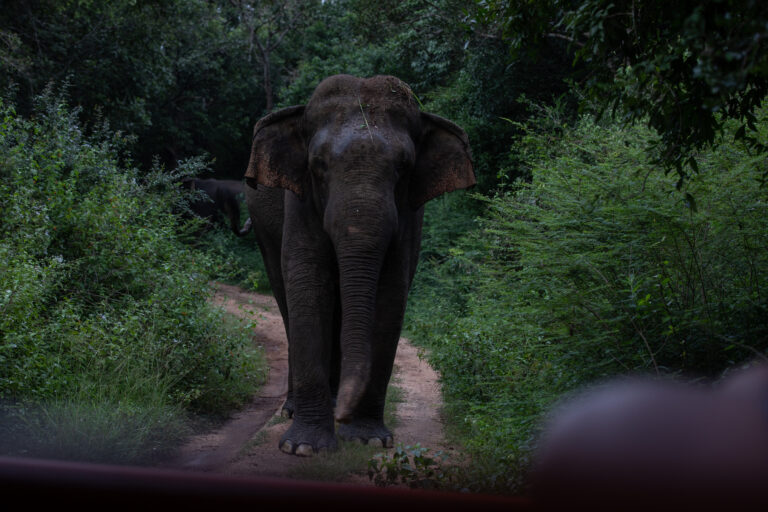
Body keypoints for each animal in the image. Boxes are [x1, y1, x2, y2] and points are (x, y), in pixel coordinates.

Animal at [243, 74, 475, 456]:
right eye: (318, 165)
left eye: (404, 167)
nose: (342, 418)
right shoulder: (300, 201)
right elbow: (308, 287)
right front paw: (303, 448)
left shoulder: (409, 213)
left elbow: (390, 293)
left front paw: (368, 439)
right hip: (262, 228)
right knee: (285, 297)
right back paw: (296, 408)